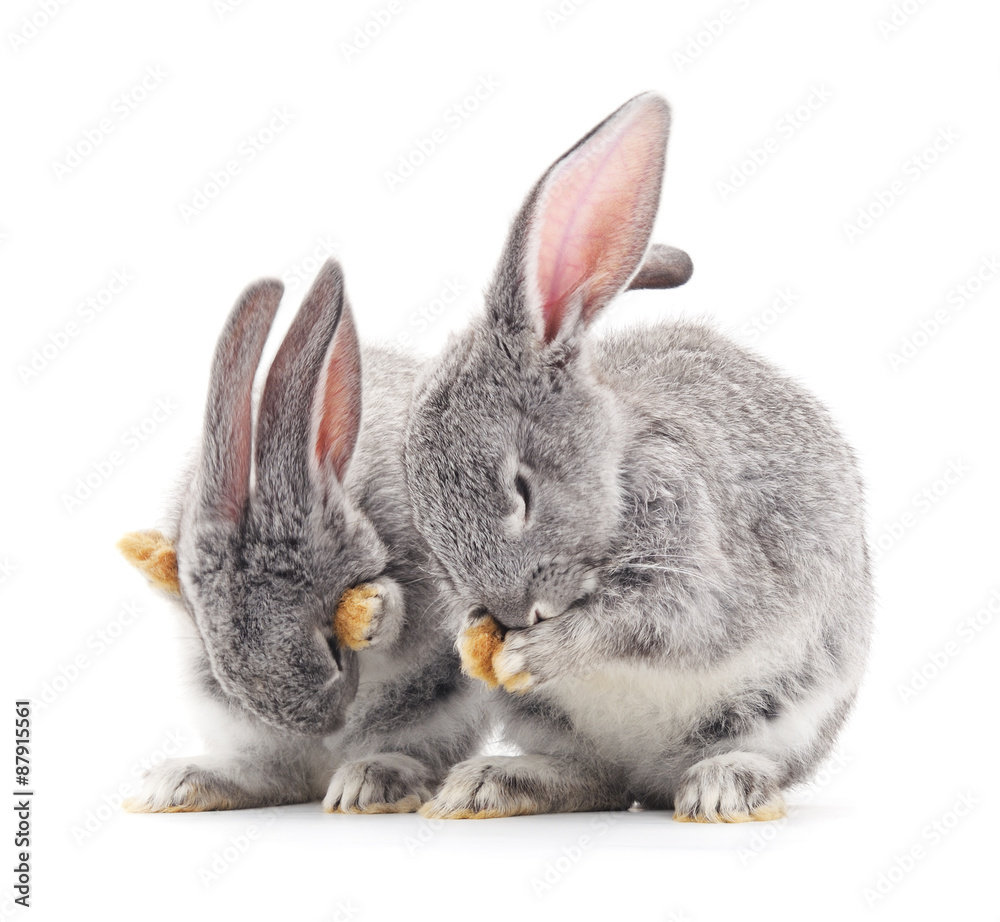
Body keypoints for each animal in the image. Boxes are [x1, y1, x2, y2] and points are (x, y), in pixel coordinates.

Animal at [118, 258, 485, 813]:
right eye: (210, 645)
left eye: (333, 643)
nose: (319, 722)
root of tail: (324, 764)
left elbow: (402, 620)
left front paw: (373, 612)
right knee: (276, 775)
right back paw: (181, 783)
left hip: (437, 708)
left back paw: (369, 783)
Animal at [401, 92, 874, 823]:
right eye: (423, 514)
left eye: (522, 488)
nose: (514, 613)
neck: (613, 475)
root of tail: (646, 779)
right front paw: (475, 639)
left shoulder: (696, 565)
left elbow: (650, 623)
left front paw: (543, 649)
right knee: (595, 780)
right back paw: (489, 784)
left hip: (787, 705)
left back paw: (722, 787)